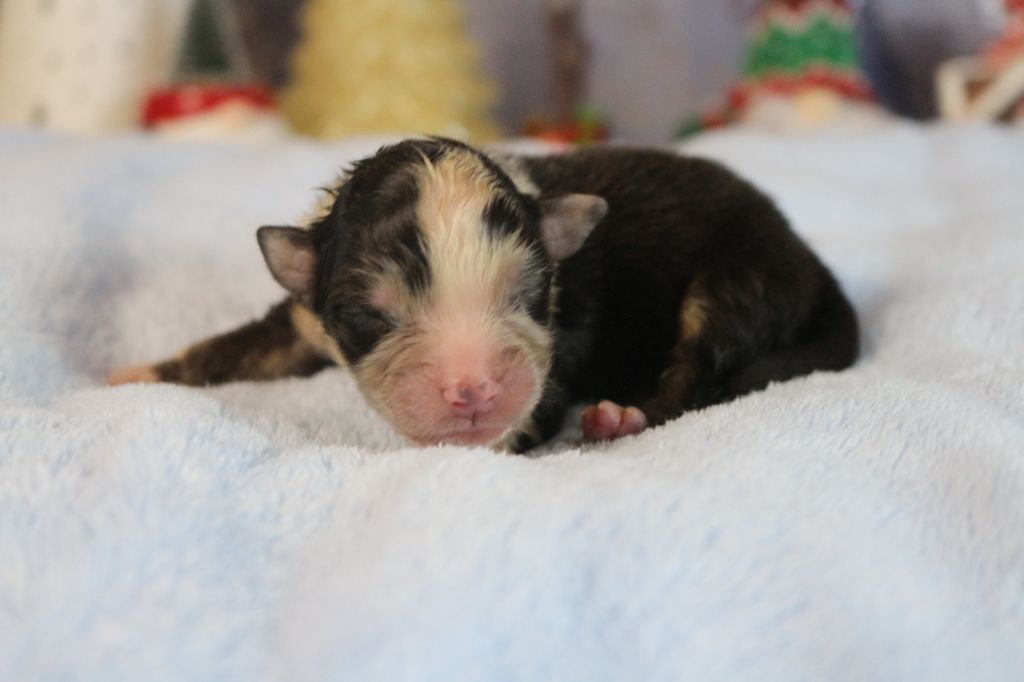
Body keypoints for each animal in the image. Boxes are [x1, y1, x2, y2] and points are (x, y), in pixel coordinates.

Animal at [108, 137, 860, 450]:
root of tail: (808, 255)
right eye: (369, 316)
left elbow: (525, 416)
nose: (471, 389)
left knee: (699, 368)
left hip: (741, 275)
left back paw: (627, 414)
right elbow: (233, 347)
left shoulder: (559, 344)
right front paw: (135, 376)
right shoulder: (301, 317)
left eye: (525, 296)